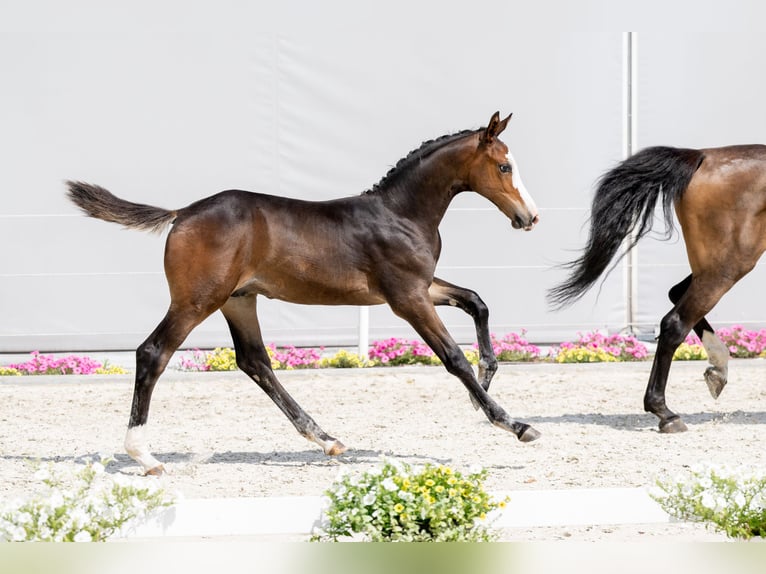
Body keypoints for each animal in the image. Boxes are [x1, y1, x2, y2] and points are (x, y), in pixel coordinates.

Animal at [69, 110, 544, 474]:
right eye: (504, 167)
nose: (530, 217)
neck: (401, 213)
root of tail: (182, 213)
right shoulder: (407, 297)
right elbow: (452, 357)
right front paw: (513, 423)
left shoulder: (424, 287)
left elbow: (477, 302)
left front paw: (486, 377)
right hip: (196, 301)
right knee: (153, 353)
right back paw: (144, 456)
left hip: (238, 300)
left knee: (255, 362)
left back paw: (327, 438)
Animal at [548, 146, 766, 434]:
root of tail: (703, 155)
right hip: (728, 265)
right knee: (675, 322)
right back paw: (666, 413)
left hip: (714, 266)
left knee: (676, 294)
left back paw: (716, 371)